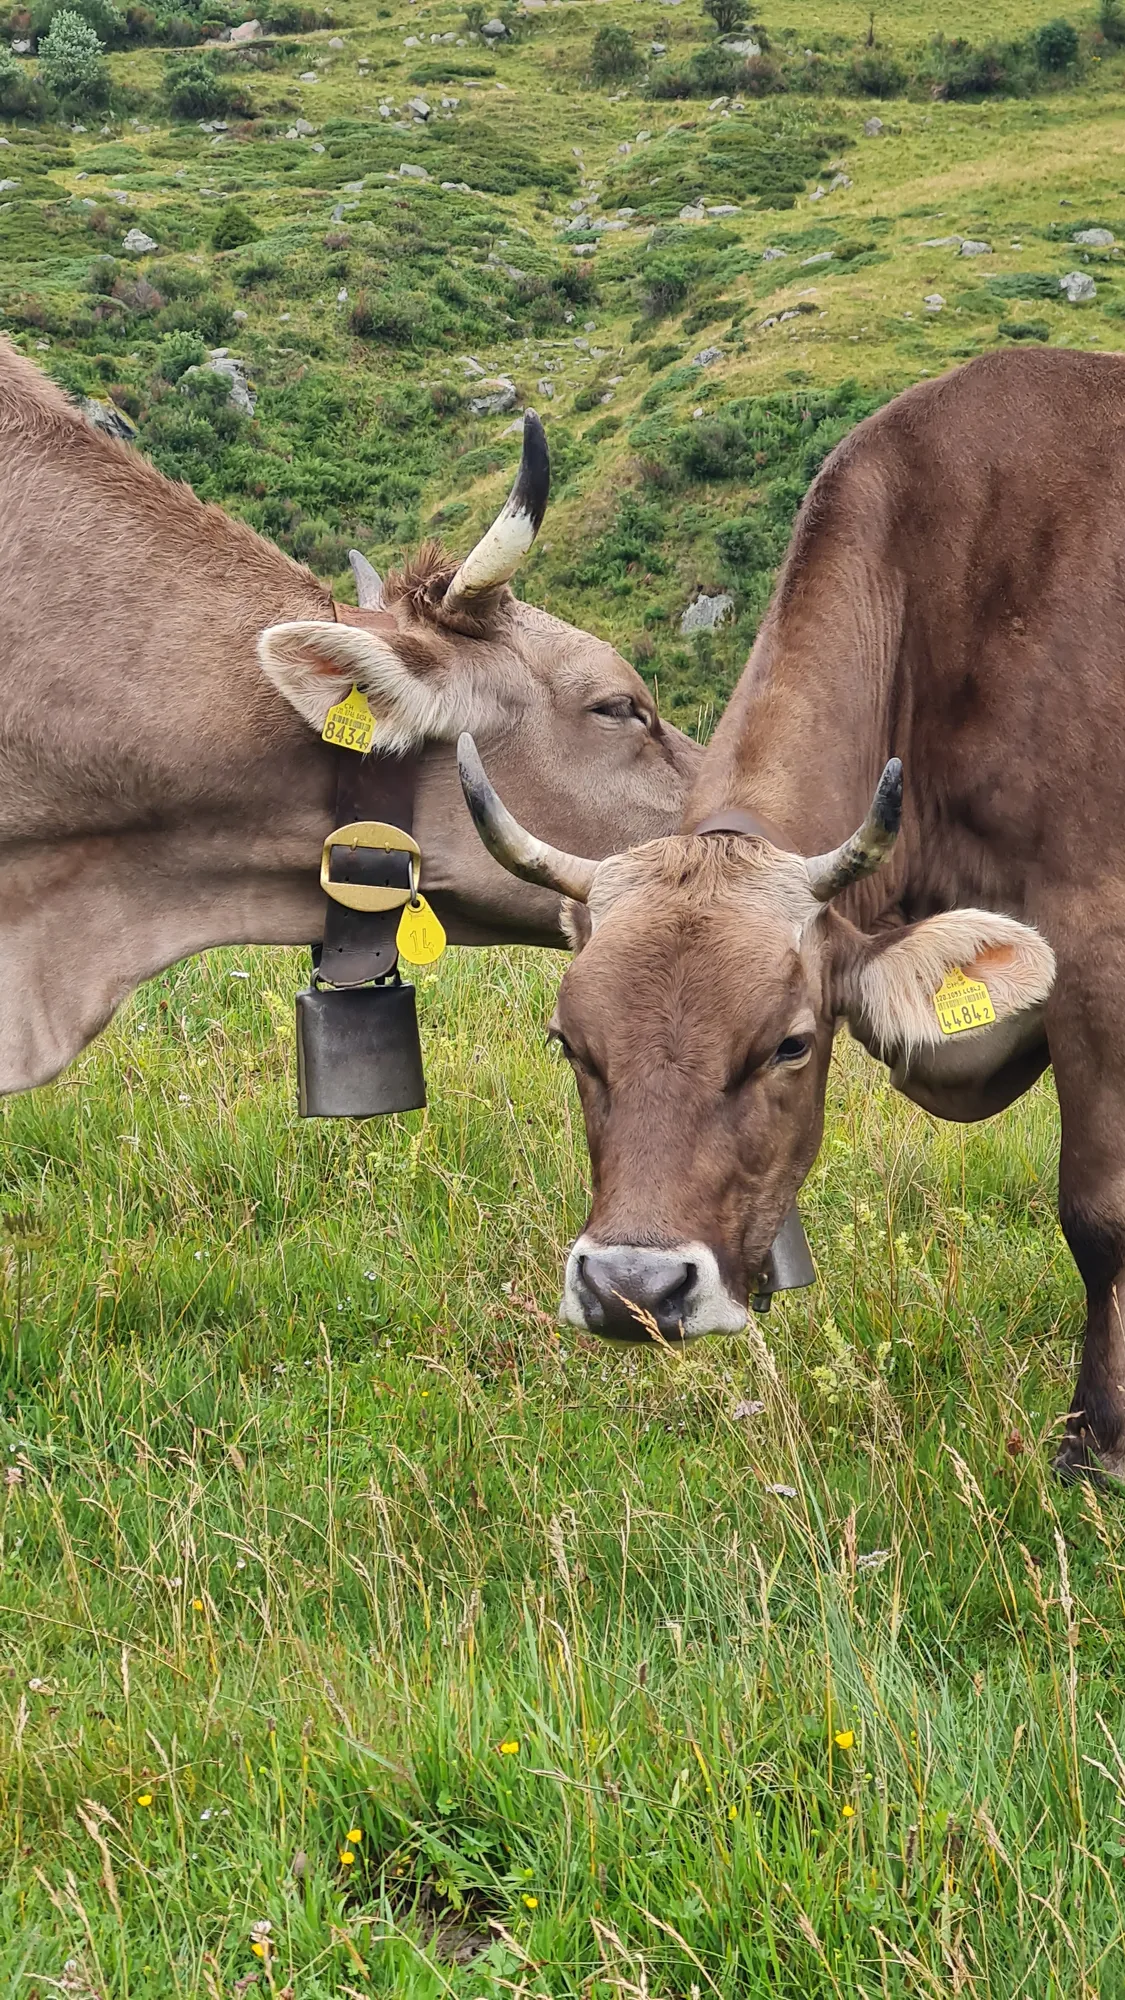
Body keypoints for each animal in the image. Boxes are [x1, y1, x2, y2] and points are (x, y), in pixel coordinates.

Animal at [455, 344, 1125, 1484]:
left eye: (789, 1044)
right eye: (567, 1043)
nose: (634, 1287)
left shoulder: (1100, 948)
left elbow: (1098, 1213)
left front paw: (1096, 1443)